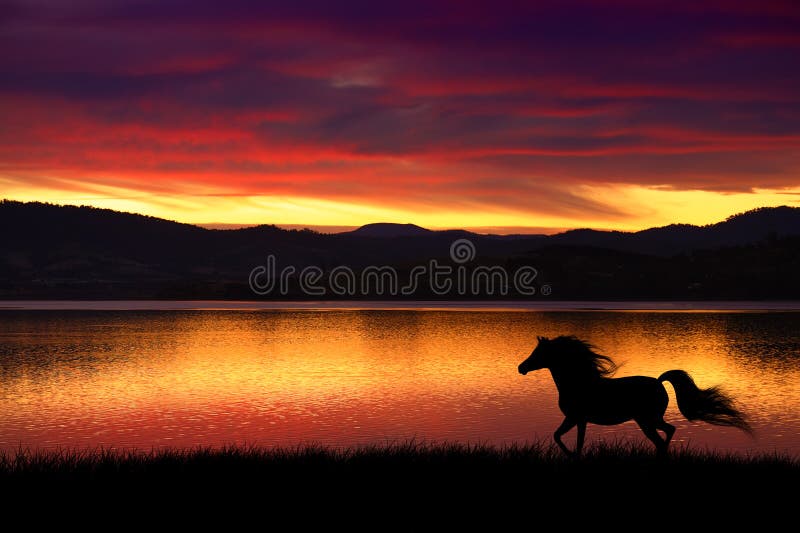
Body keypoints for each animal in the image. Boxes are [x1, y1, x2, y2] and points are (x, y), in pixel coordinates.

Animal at [520, 336, 752, 454]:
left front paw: (570, 455)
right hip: (650, 420)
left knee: (665, 434)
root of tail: (659, 382)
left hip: (647, 420)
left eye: (539, 353)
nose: (521, 368)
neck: (579, 382)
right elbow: (573, 440)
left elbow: (559, 437)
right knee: (668, 431)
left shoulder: (574, 417)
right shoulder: (580, 420)